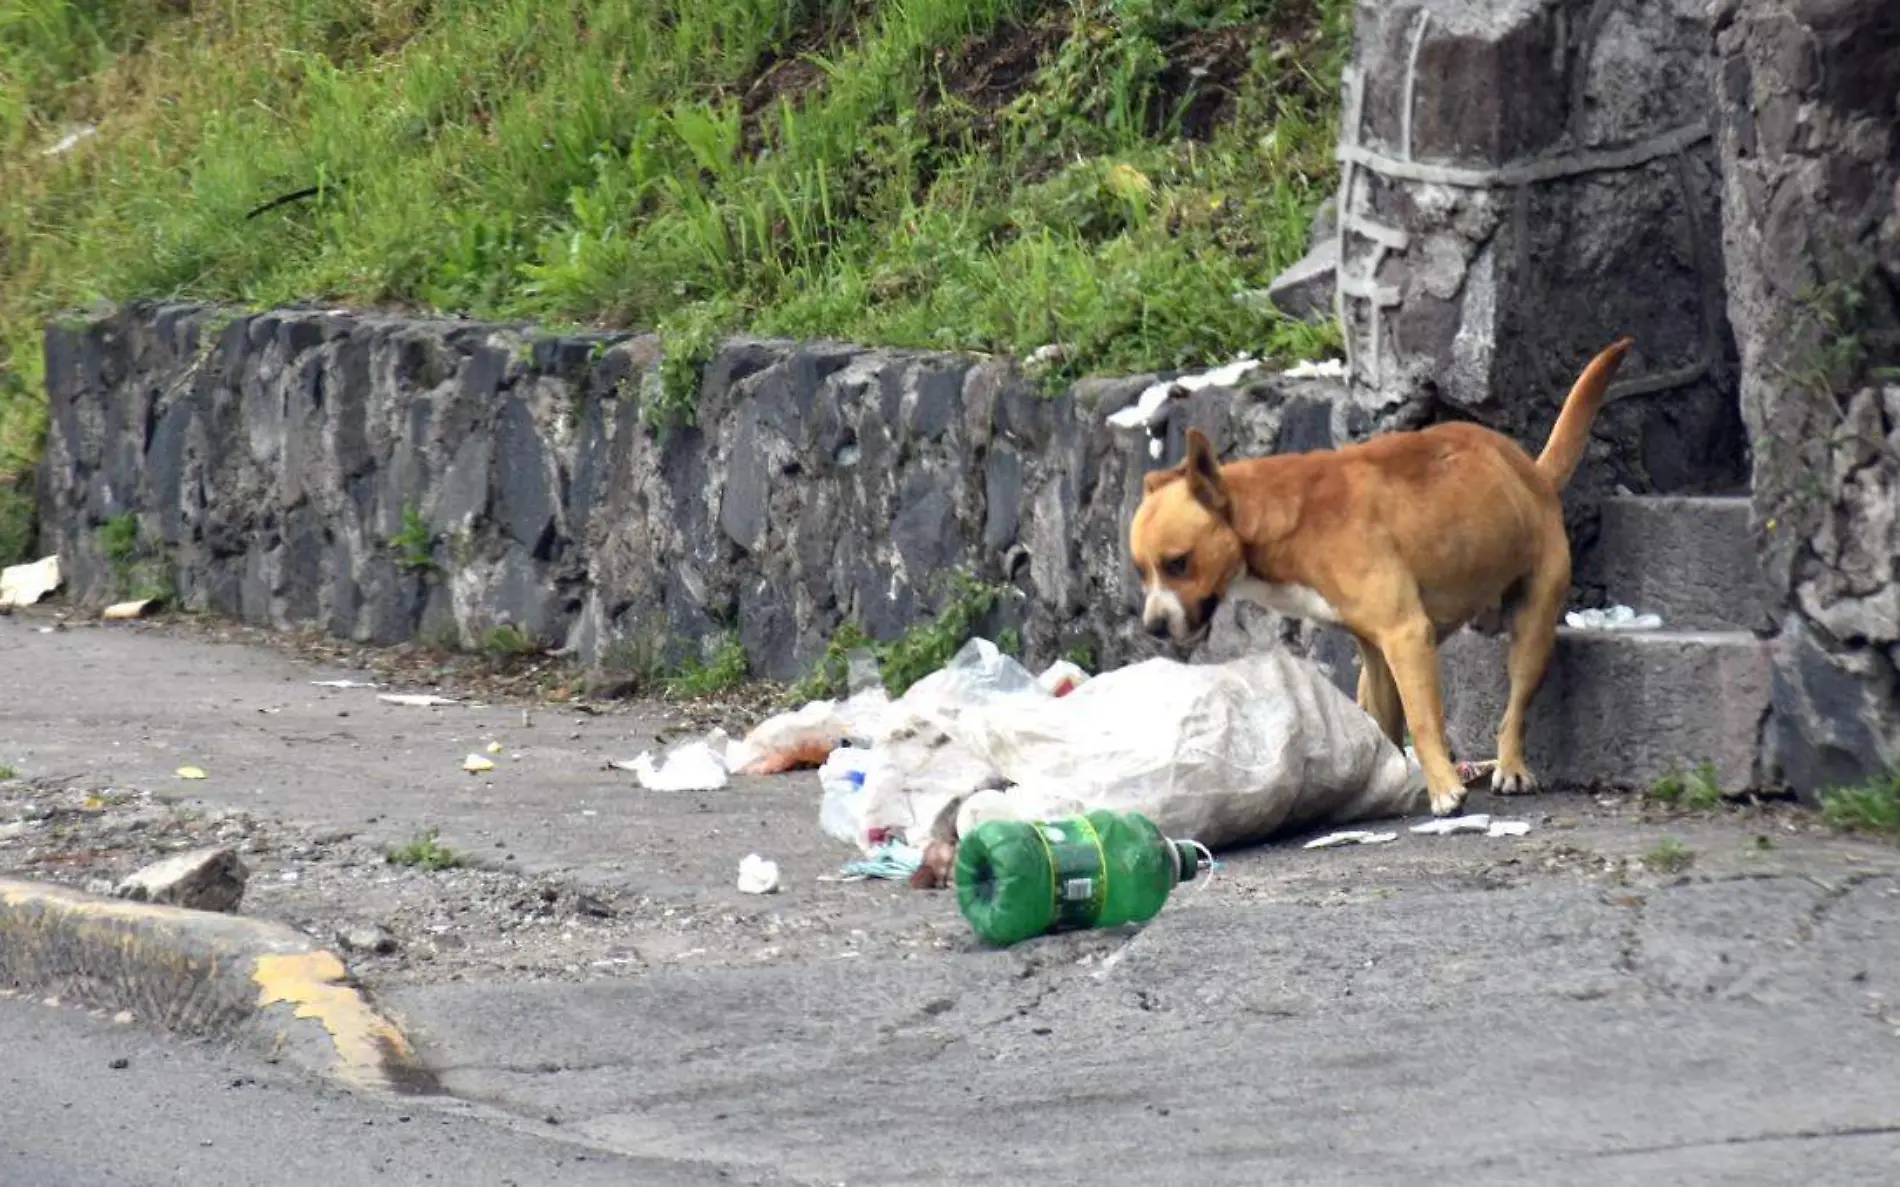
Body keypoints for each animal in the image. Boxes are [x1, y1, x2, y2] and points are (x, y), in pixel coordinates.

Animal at [1124, 334, 1634, 812]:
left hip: (1532, 630)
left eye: (1177, 562)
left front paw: (1443, 789)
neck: (1282, 520)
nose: (1153, 627)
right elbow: (1389, 726)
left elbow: (1424, 721)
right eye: (1141, 572)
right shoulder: (1379, 649)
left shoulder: (1403, 634)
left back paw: (1510, 766)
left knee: (1515, 711)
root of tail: (1533, 473)